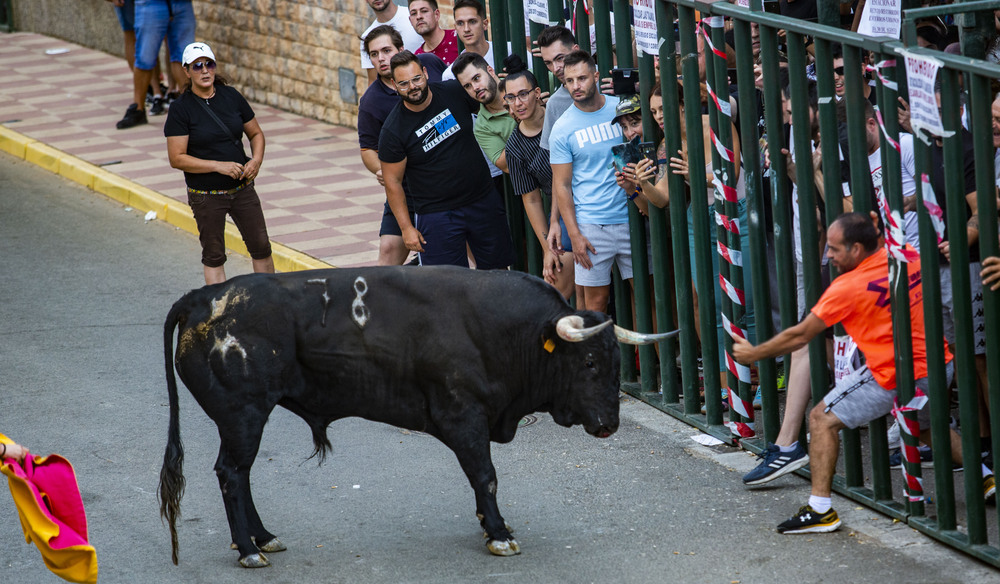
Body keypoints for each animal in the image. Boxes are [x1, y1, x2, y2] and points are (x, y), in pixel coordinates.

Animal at [156, 266, 676, 568]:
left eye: (617, 362)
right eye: (587, 362)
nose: (609, 423)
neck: (508, 331)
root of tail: (204, 296)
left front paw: (492, 527)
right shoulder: (464, 417)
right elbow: (485, 475)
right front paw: (499, 534)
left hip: (244, 420)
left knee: (240, 475)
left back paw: (263, 539)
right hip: (244, 415)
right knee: (231, 473)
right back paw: (248, 549)